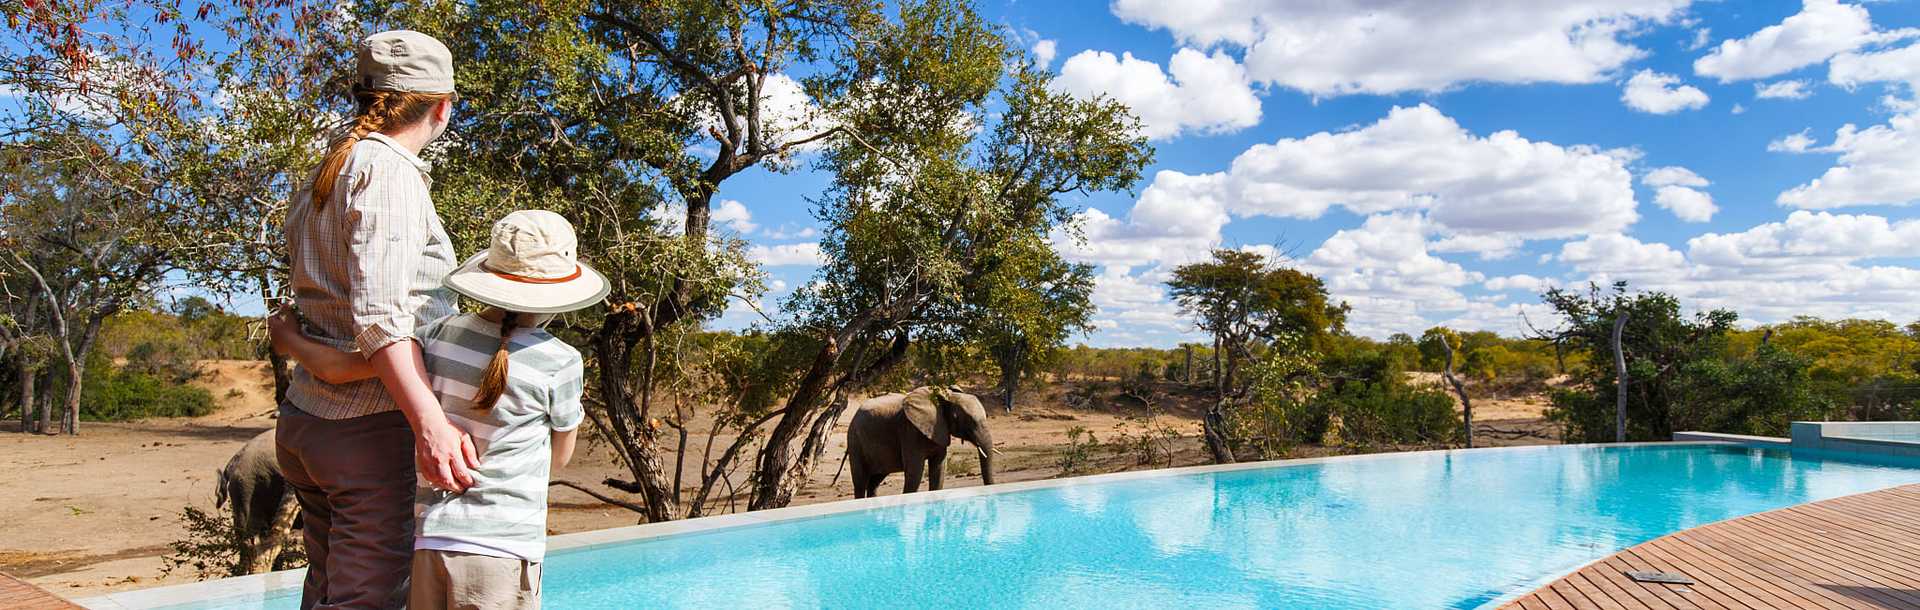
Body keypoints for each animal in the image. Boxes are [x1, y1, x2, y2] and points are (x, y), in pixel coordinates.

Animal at [848, 387, 998, 498]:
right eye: (959, 418)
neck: (944, 397)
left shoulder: (939, 431)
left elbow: (938, 469)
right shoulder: (910, 431)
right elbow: (915, 471)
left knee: (875, 480)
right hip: (855, 441)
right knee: (860, 482)